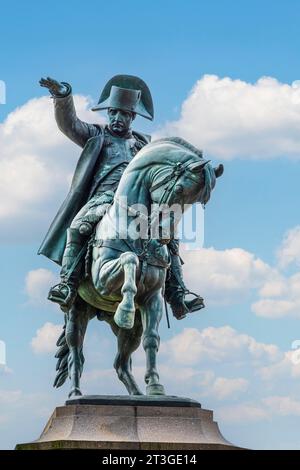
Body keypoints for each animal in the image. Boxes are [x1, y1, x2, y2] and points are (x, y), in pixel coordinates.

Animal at [53, 136, 223, 396]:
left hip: (131, 331)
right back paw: (75, 392)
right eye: (180, 190)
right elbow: (129, 259)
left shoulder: (152, 298)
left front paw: (155, 385)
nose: (164, 236)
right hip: (75, 312)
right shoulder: (102, 280)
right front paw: (125, 308)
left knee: (121, 363)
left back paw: (137, 393)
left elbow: (152, 339)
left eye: (197, 201)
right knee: (76, 353)